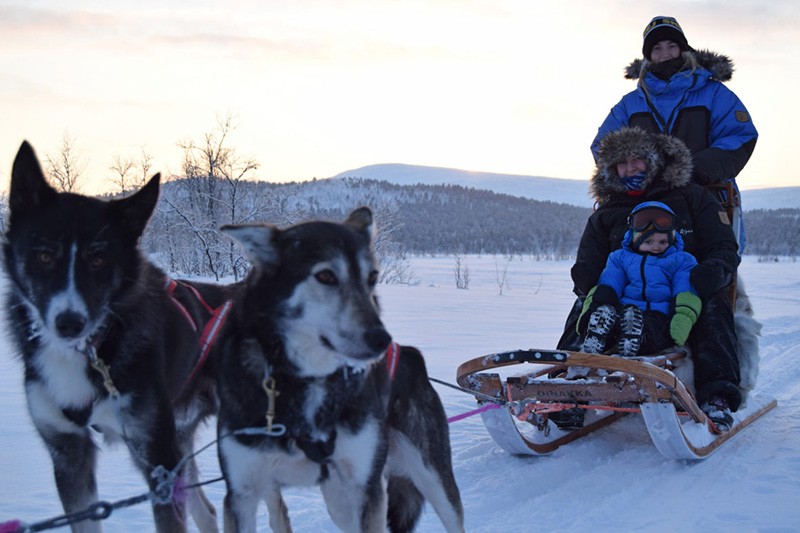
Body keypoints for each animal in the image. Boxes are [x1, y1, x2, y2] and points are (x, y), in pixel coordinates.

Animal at [3, 141, 222, 532]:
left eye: (99, 259)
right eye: (43, 255)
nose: (69, 322)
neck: (91, 351)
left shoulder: (157, 457)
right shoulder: (68, 452)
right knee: (207, 511)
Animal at [216, 209, 466, 532]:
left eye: (372, 277)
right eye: (325, 275)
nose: (381, 339)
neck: (309, 379)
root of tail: (411, 354)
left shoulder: (367, 488)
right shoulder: (241, 494)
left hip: (431, 478)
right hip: (339, 501)